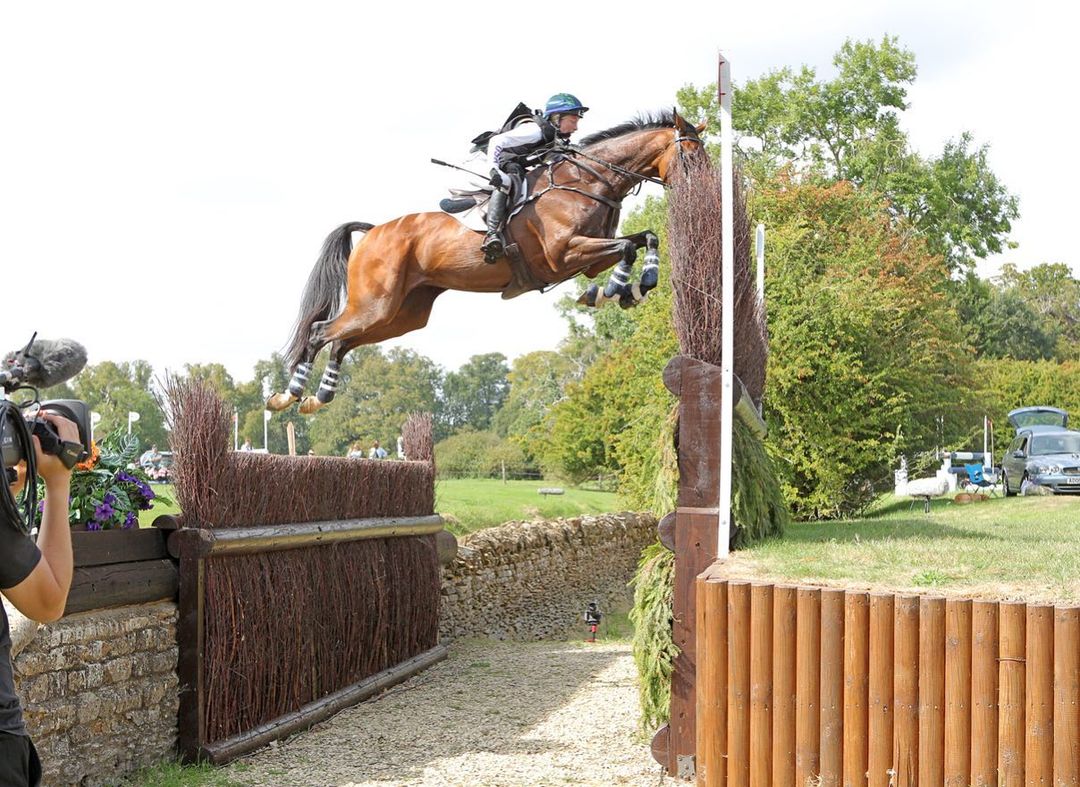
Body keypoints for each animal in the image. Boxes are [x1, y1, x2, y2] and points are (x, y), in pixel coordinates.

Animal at [267, 113, 708, 416]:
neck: (588, 181)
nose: (704, 190)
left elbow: (644, 239)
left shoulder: (586, 260)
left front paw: (636, 286)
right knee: (321, 332)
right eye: (690, 153)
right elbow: (627, 248)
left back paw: (318, 398)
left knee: (341, 341)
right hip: (375, 304)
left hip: (401, 315)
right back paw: (287, 395)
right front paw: (615, 290)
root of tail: (375, 231)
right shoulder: (566, 254)